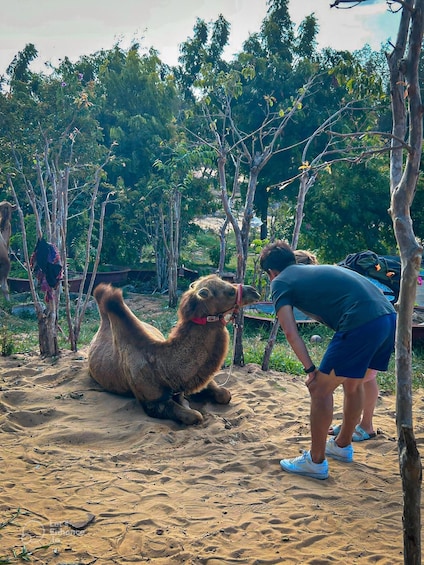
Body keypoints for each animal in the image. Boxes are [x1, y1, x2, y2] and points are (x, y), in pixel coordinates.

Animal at [88, 276, 260, 426]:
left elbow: (224, 394)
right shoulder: (152, 402)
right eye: (230, 291)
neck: (162, 367)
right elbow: (195, 416)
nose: (254, 291)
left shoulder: (195, 379)